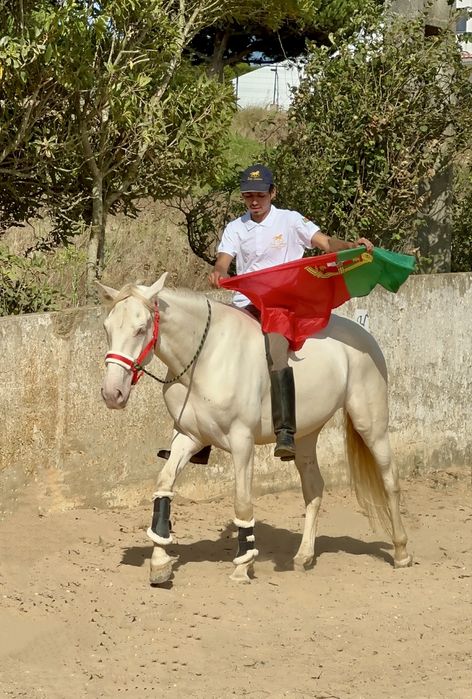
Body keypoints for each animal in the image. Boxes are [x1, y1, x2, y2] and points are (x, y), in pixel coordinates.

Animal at [98, 274, 412, 584]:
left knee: (390, 480)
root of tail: (363, 336)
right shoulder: (189, 438)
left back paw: (401, 552)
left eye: (140, 329)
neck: (207, 357)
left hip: (370, 424)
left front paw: (242, 566)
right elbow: (163, 485)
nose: (113, 393)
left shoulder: (242, 442)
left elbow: (242, 502)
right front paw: (160, 563)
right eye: (107, 328)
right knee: (314, 488)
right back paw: (303, 557)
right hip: (306, 436)